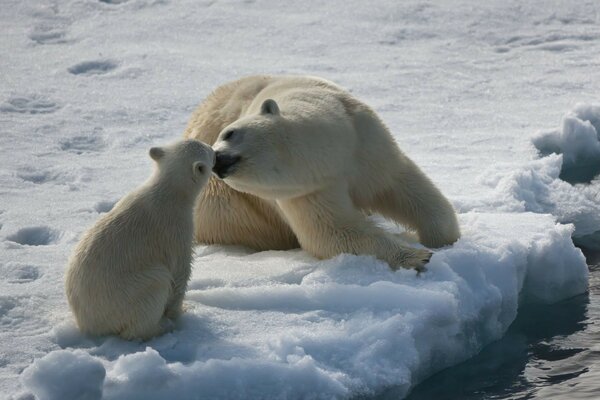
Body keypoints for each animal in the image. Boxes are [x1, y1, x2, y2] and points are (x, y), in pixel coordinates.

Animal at [65, 139, 214, 340]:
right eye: (207, 149)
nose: (214, 149)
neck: (168, 192)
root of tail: (90, 326)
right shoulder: (176, 229)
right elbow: (180, 271)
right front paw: (180, 312)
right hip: (128, 294)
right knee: (155, 285)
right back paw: (160, 327)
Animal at [185, 75, 462, 268]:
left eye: (230, 133)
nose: (216, 160)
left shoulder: (366, 144)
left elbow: (400, 186)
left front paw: (443, 241)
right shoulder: (307, 191)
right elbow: (333, 232)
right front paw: (417, 256)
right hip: (222, 208)